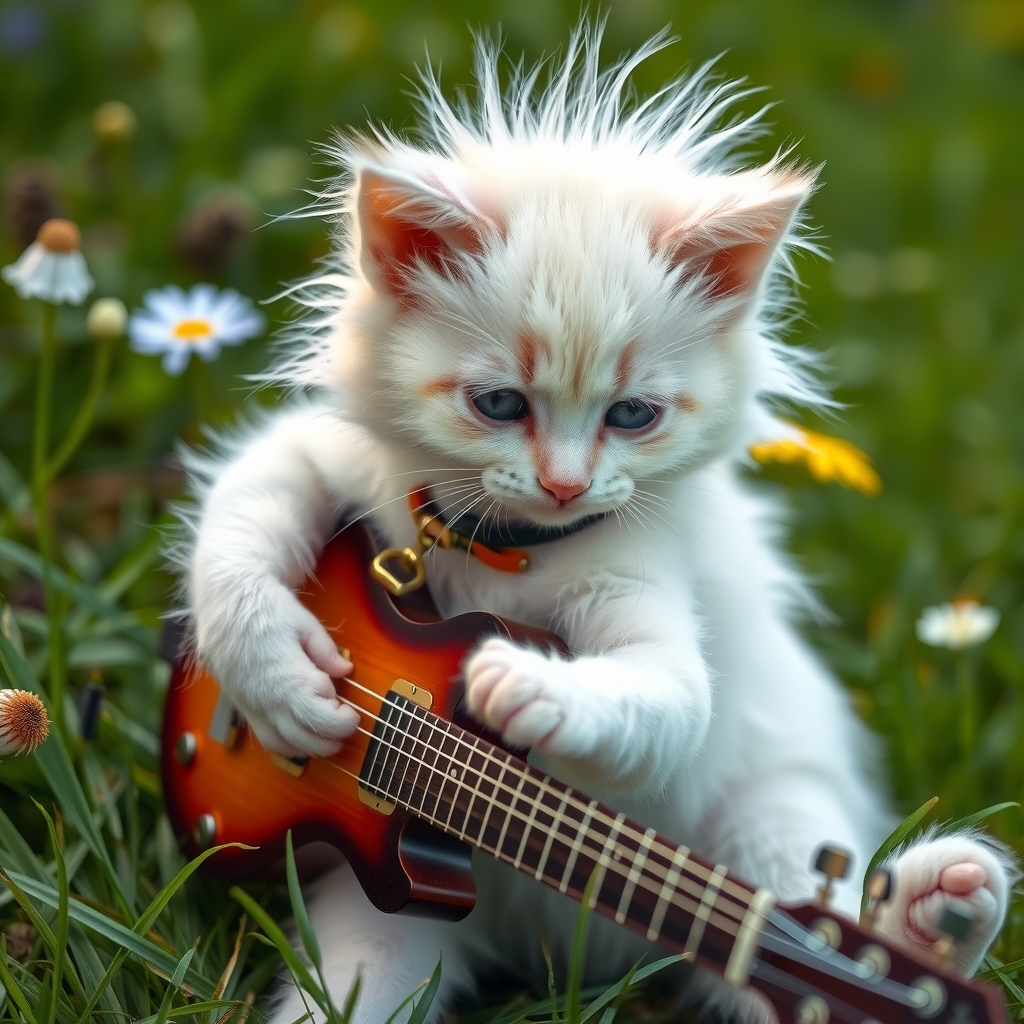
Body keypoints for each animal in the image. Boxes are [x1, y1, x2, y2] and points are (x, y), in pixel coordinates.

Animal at [178, 25, 1015, 1024]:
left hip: (770, 818)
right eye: (500, 404)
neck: (501, 551)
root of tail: (561, 946)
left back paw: (931, 917)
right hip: (378, 929)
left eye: (632, 416)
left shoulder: (647, 598)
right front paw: (269, 684)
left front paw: (533, 690)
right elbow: (233, 530)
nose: (565, 485)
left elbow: (662, 702)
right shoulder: (319, 453)